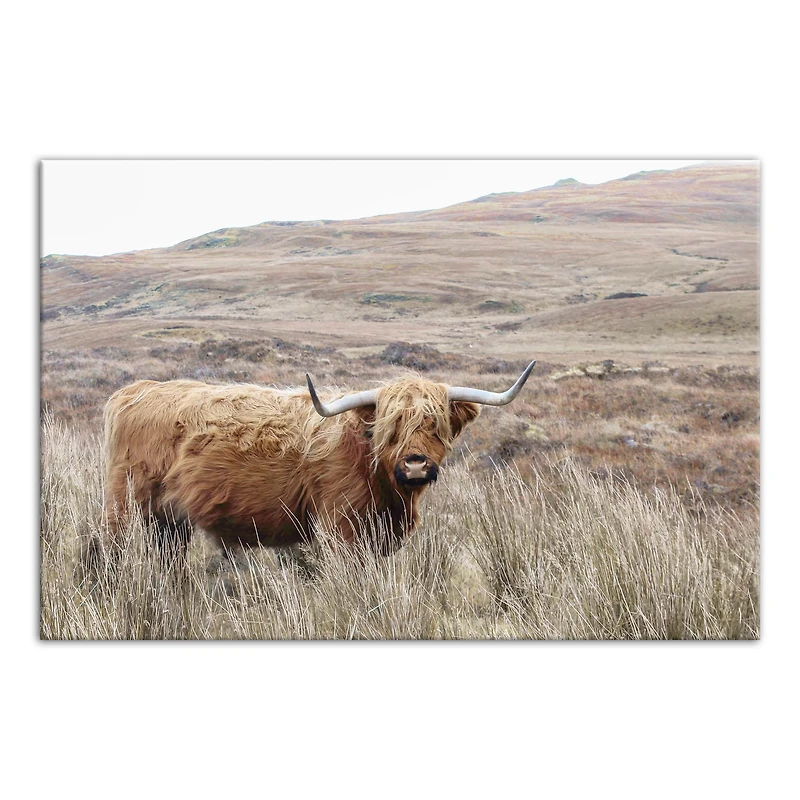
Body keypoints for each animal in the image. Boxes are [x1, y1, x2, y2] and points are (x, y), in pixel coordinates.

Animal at [103, 361, 536, 558]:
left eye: (436, 425)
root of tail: (135, 391)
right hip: (124, 504)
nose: (415, 465)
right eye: (390, 427)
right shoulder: (341, 530)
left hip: (168, 520)